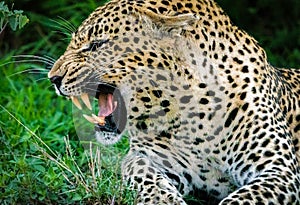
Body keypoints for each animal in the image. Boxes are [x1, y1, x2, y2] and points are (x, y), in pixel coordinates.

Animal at [48, 0, 298, 203]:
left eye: (96, 45)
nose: (53, 78)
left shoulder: (279, 169)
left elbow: (242, 199)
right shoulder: (145, 157)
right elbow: (145, 176)